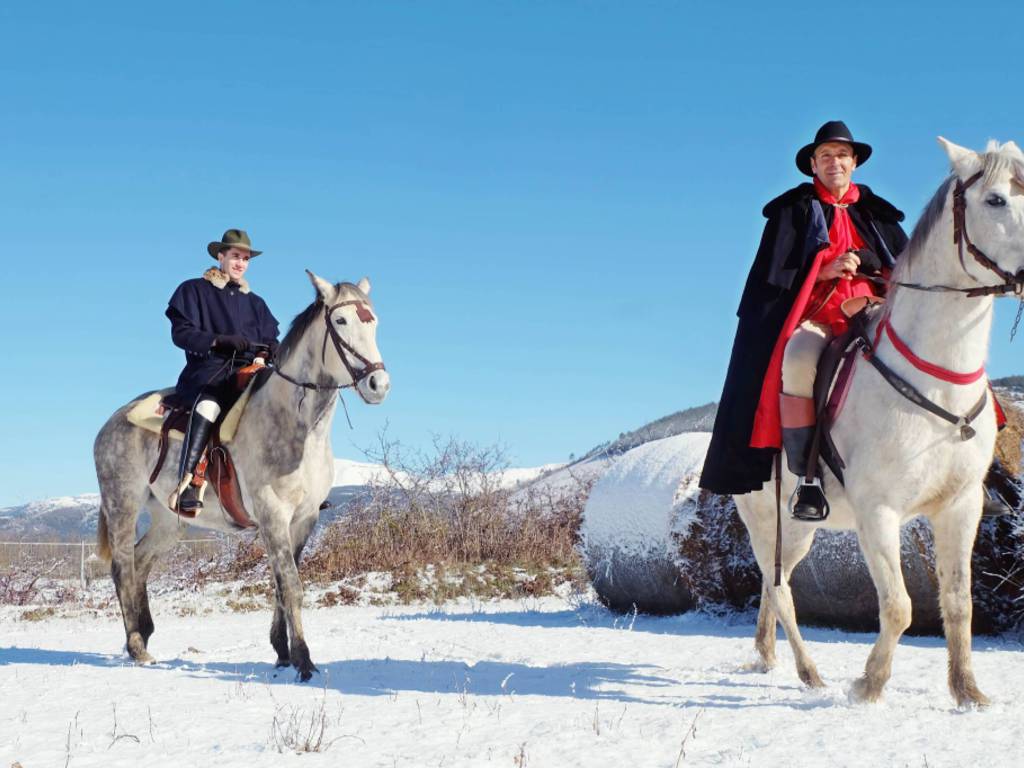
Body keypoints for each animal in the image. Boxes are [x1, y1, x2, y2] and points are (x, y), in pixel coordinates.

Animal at [94, 274, 389, 684]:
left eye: (373, 321)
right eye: (341, 321)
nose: (379, 384)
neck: (297, 425)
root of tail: (110, 423)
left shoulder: (304, 519)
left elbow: (282, 585)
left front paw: (282, 652)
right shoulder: (272, 516)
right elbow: (291, 586)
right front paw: (303, 660)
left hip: (170, 520)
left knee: (140, 562)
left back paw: (144, 634)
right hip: (122, 504)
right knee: (123, 565)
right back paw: (137, 647)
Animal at [741, 140, 1024, 708]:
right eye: (996, 200)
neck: (938, 380)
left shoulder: (962, 507)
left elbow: (957, 602)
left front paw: (967, 691)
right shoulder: (879, 512)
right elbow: (898, 606)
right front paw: (868, 684)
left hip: (795, 534)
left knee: (771, 585)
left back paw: (768, 655)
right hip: (769, 523)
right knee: (780, 592)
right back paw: (809, 672)